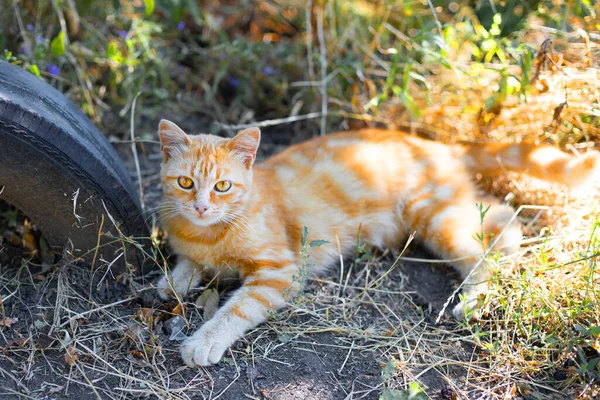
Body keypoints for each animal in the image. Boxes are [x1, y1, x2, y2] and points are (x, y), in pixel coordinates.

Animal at [156, 120, 600, 368]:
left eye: (222, 186)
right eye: (185, 183)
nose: (200, 206)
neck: (208, 234)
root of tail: (440, 146)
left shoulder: (279, 271)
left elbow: (236, 310)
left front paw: (204, 341)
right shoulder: (194, 249)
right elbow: (185, 267)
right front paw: (172, 281)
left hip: (431, 215)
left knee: (482, 255)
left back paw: (476, 299)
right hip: (449, 208)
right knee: (501, 217)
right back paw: (508, 243)